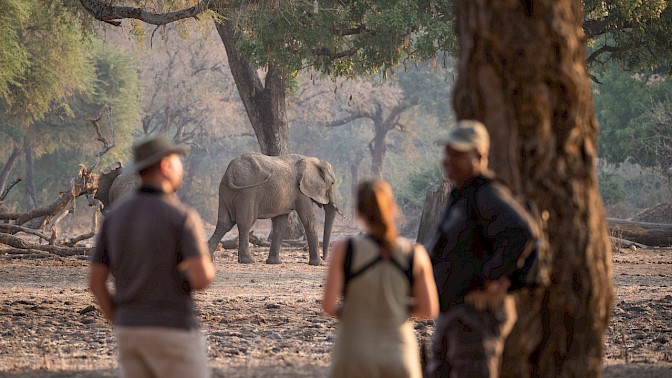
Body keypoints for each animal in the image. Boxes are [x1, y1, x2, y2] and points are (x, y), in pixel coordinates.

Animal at [207, 151, 338, 266]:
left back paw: (208, 258)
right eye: (332, 183)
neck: (311, 160)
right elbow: (309, 220)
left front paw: (274, 262)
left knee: (224, 223)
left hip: (225, 191)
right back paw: (248, 261)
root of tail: (230, 172)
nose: (324, 258)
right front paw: (319, 264)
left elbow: (280, 223)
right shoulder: (300, 191)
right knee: (245, 223)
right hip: (246, 192)